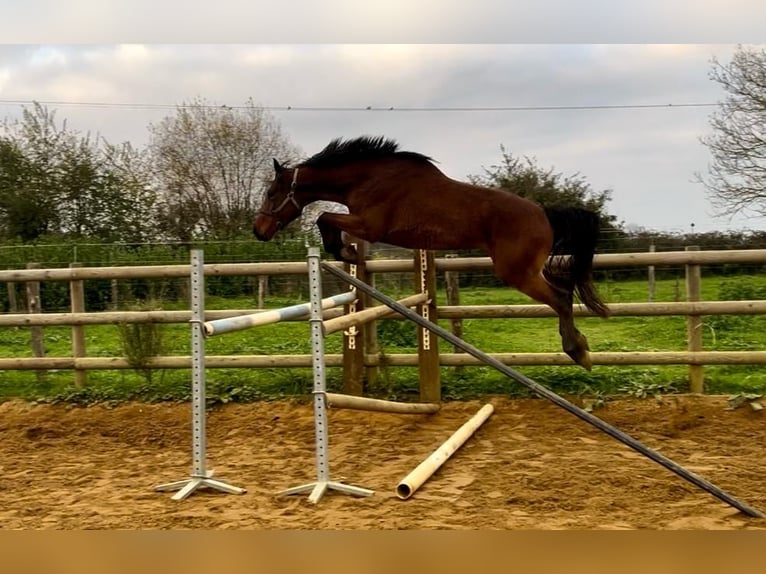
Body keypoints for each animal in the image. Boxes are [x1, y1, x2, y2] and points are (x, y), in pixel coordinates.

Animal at [255, 137, 608, 372]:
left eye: (271, 193)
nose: (259, 231)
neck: (367, 177)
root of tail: (544, 214)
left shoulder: (370, 225)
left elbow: (324, 218)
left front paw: (347, 252)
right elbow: (326, 219)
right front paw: (349, 253)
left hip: (517, 272)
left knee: (561, 298)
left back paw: (579, 352)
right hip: (528, 270)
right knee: (563, 294)